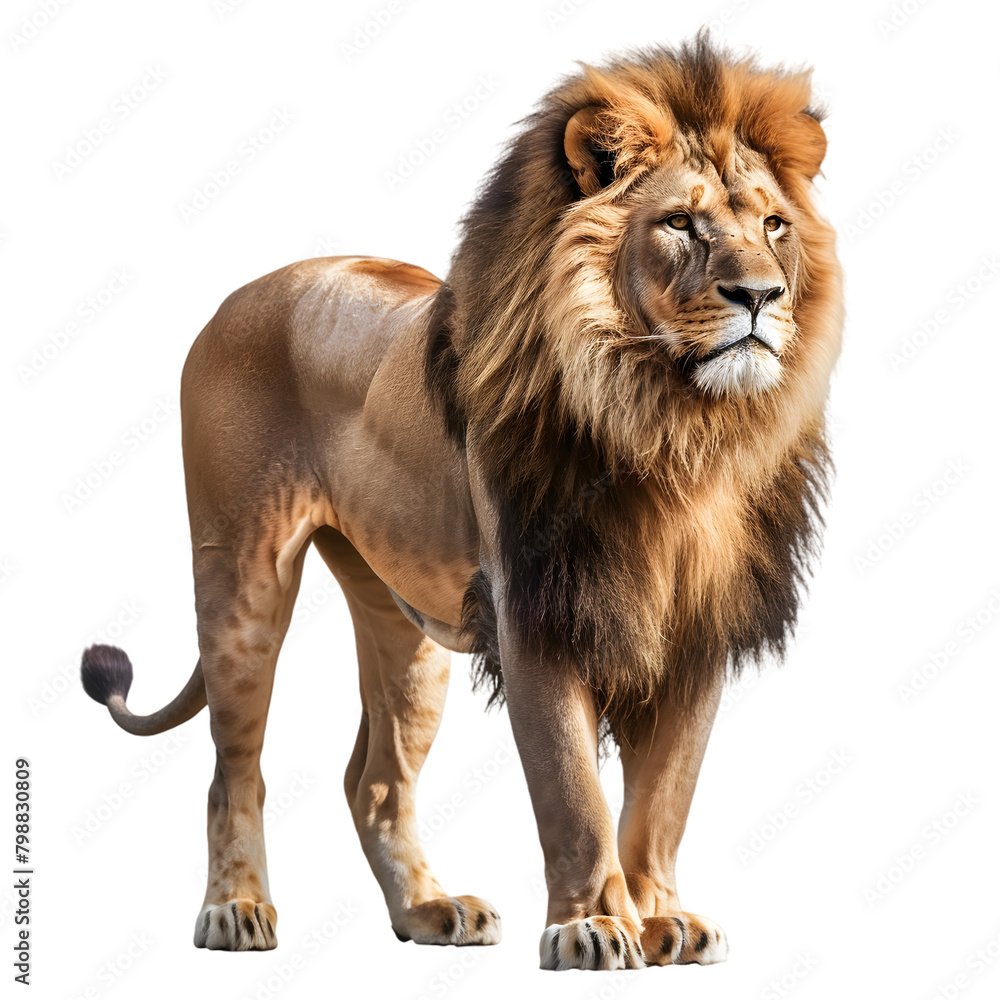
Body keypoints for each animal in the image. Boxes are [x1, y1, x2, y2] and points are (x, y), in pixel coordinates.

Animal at [80, 36, 842, 970]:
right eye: (679, 224)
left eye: (773, 225)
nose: (762, 296)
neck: (670, 428)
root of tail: (244, 292)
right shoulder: (538, 609)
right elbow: (573, 792)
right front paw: (592, 925)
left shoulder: (698, 625)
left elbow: (666, 794)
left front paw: (664, 918)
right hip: (242, 576)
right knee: (235, 765)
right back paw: (236, 911)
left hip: (403, 623)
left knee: (373, 780)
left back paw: (430, 911)